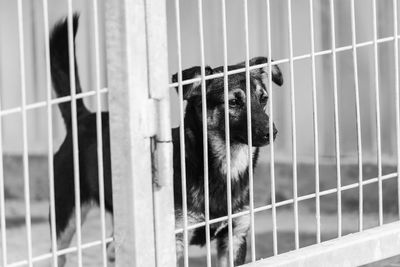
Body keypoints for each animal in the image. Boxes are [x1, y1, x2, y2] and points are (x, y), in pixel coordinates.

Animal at [49, 15, 282, 267]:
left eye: (264, 99)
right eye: (233, 102)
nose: (272, 133)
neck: (224, 167)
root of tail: (81, 117)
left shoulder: (235, 236)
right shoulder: (175, 242)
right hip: (65, 217)